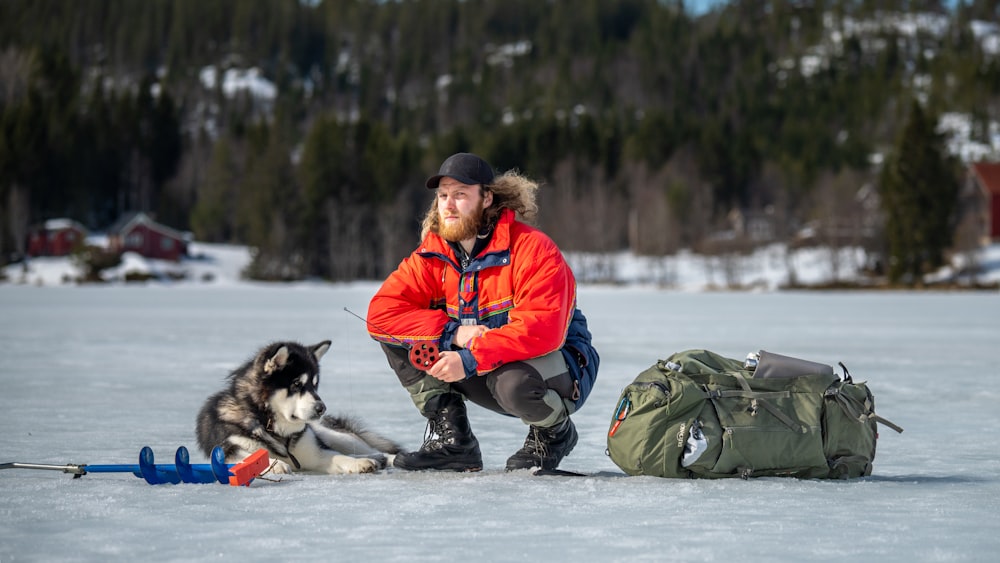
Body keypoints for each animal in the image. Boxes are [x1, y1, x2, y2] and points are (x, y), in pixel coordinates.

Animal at [195, 340, 402, 476]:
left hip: (334, 435)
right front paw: (274, 465)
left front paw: (359, 463)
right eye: (296, 384)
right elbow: (247, 458)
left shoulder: (315, 451)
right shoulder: (228, 449)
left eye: (314, 385)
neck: (273, 427)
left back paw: (388, 458)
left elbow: (339, 457)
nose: (321, 408)